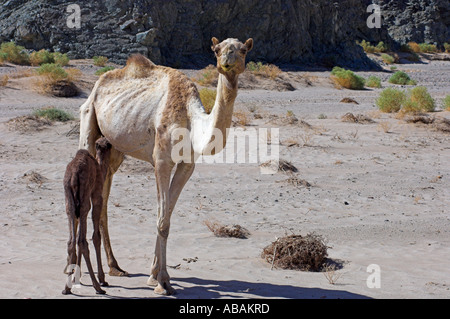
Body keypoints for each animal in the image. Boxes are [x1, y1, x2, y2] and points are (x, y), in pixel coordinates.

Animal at [62, 136, 112, 296]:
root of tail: (73, 177)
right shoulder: (97, 194)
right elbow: (96, 237)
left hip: (70, 202)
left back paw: (66, 288)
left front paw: (75, 278)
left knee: (72, 242)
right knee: (83, 241)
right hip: (84, 200)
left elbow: (77, 239)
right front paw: (102, 279)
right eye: (110, 144)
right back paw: (98, 287)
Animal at [78, 37, 253, 296]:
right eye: (216, 50)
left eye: (243, 50)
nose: (226, 62)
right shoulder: (161, 161)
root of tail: (97, 85)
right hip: (88, 121)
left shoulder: (187, 165)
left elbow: (166, 215)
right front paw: (162, 283)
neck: (192, 122)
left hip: (113, 149)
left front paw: (154, 276)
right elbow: (162, 221)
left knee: (104, 199)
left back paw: (115, 267)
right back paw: (80, 273)